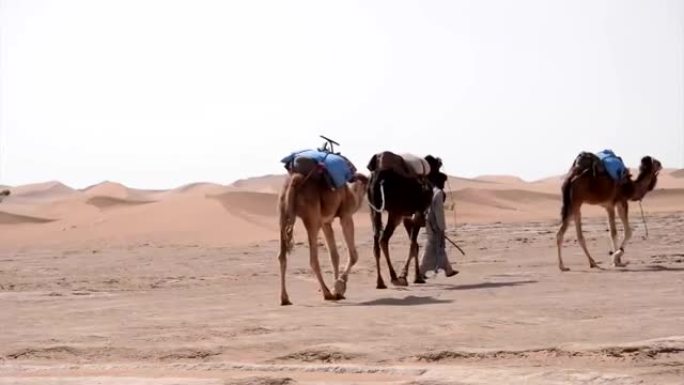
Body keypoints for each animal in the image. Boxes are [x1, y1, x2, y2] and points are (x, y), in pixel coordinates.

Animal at [276, 161, 368, 304]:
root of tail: (295, 179)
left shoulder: (326, 223)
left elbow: (334, 256)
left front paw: (337, 290)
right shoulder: (346, 215)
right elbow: (353, 255)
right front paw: (339, 286)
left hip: (283, 214)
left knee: (282, 256)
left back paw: (285, 298)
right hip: (312, 218)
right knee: (313, 259)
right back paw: (327, 293)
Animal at [366, 152, 446, 286]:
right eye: (441, 175)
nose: (444, 195)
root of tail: (379, 178)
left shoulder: (406, 217)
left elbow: (415, 245)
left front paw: (415, 276)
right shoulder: (418, 213)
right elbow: (413, 244)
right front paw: (411, 276)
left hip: (375, 210)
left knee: (377, 240)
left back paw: (381, 281)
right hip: (394, 211)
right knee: (383, 238)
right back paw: (395, 277)